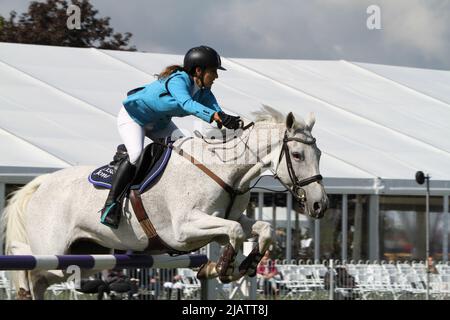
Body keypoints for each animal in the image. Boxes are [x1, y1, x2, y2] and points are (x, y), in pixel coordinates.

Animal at [1, 106, 328, 298]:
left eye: (319, 154)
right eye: (297, 155)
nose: (319, 205)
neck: (227, 170)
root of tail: (42, 182)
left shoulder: (229, 219)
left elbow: (261, 229)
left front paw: (243, 264)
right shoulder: (184, 230)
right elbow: (234, 232)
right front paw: (223, 267)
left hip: (83, 256)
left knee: (43, 278)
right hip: (52, 249)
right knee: (26, 262)